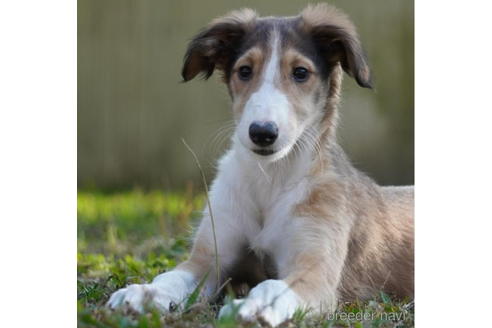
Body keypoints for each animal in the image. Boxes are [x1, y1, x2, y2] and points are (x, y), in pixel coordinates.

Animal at [108, 3, 416, 326]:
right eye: (244, 71)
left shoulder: (315, 275)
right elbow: (170, 278)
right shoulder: (207, 261)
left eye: (301, 72)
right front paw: (141, 294)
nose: (262, 132)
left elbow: (271, 286)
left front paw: (253, 307)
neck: (270, 179)